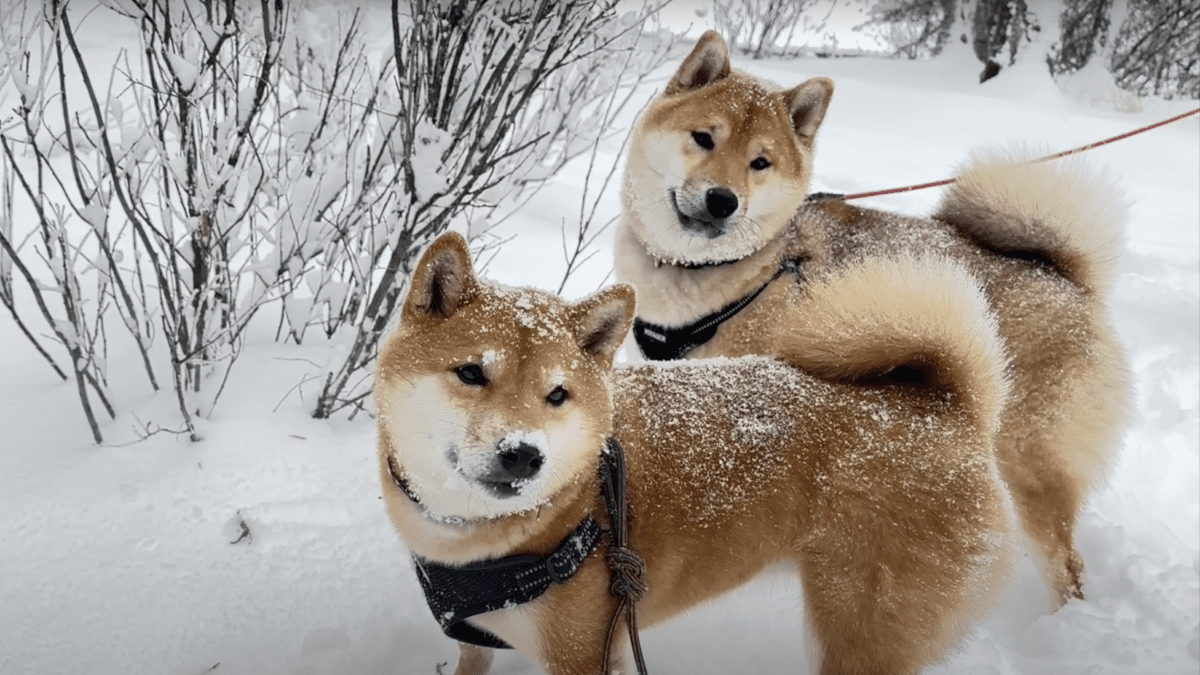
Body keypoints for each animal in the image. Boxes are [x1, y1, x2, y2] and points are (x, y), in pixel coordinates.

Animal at [374, 230, 1012, 672]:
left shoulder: (583, 656)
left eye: (557, 395)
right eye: (471, 373)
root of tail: (945, 403)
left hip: (859, 633)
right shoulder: (477, 644)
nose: (524, 455)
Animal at [619, 28, 1132, 605]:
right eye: (704, 138)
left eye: (760, 163)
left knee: (1067, 565)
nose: (722, 200)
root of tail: (1068, 277)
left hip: (1030, 466)